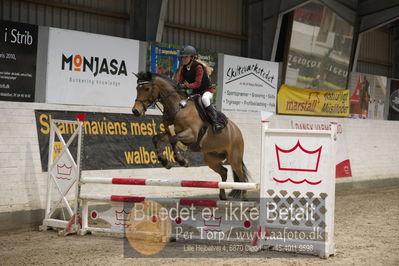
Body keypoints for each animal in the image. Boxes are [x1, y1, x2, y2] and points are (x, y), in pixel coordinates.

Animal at [132, 71, 250, 201]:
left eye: (147, 88)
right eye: (137, 88)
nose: (135, 111)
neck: (177, 108)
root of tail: (237, 131)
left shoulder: (191, 135)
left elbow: (173, 140)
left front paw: (182, 161)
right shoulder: (168, 133)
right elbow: (156, 138)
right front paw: (165, 162)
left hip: (234, 158)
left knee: (242, 177)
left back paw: (245, 198)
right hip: (211, 158)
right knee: (224, 172)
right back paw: (222, 196)